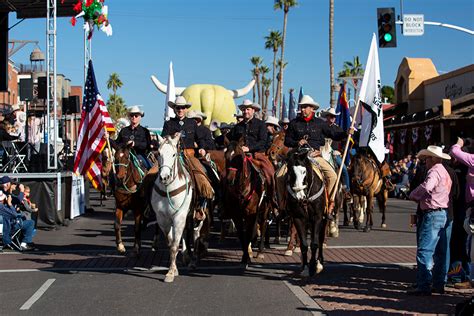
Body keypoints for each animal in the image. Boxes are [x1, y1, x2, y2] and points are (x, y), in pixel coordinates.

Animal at [151, 135, 193, 282]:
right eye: (158, 153)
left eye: (174, 154)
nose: (164, 177)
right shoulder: (162, 219)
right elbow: (170, 243)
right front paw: (173, 269)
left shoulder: (179, 217)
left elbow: (175, 245)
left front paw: (170, 273)